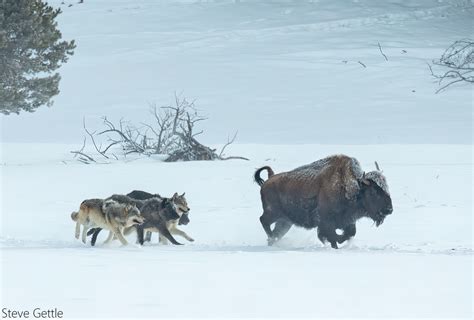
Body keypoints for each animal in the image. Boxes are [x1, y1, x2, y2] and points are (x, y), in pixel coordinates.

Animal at [256, 154, 392, 249]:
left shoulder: (348, 221)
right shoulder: (326, 223)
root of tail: (269, 179)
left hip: (285, 222)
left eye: (387, 188)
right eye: (373, 191)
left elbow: (350, 233)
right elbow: (332, 236)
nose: (389, 209)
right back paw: (272, 240)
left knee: (276, 231)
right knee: (263, 221)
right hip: (273, 214)